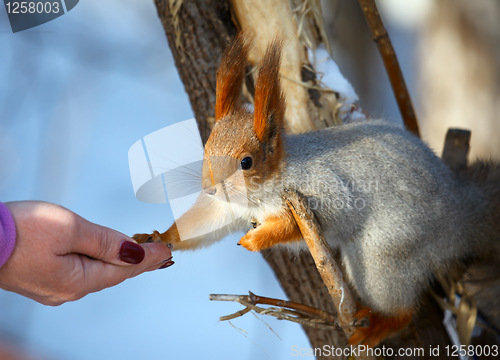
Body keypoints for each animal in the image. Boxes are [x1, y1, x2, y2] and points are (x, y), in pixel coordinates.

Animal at [135, 35, 500, 346]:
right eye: (207, 148)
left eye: (246, 162)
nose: (210, 188)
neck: (261, 190)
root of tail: (460, 212)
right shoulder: (226, 207)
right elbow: (201, 225)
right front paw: (158, 237)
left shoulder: (320, 191)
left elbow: (302, 221)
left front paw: (256, 239)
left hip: (384, 252)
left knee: (403, 308)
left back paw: (376, 327)